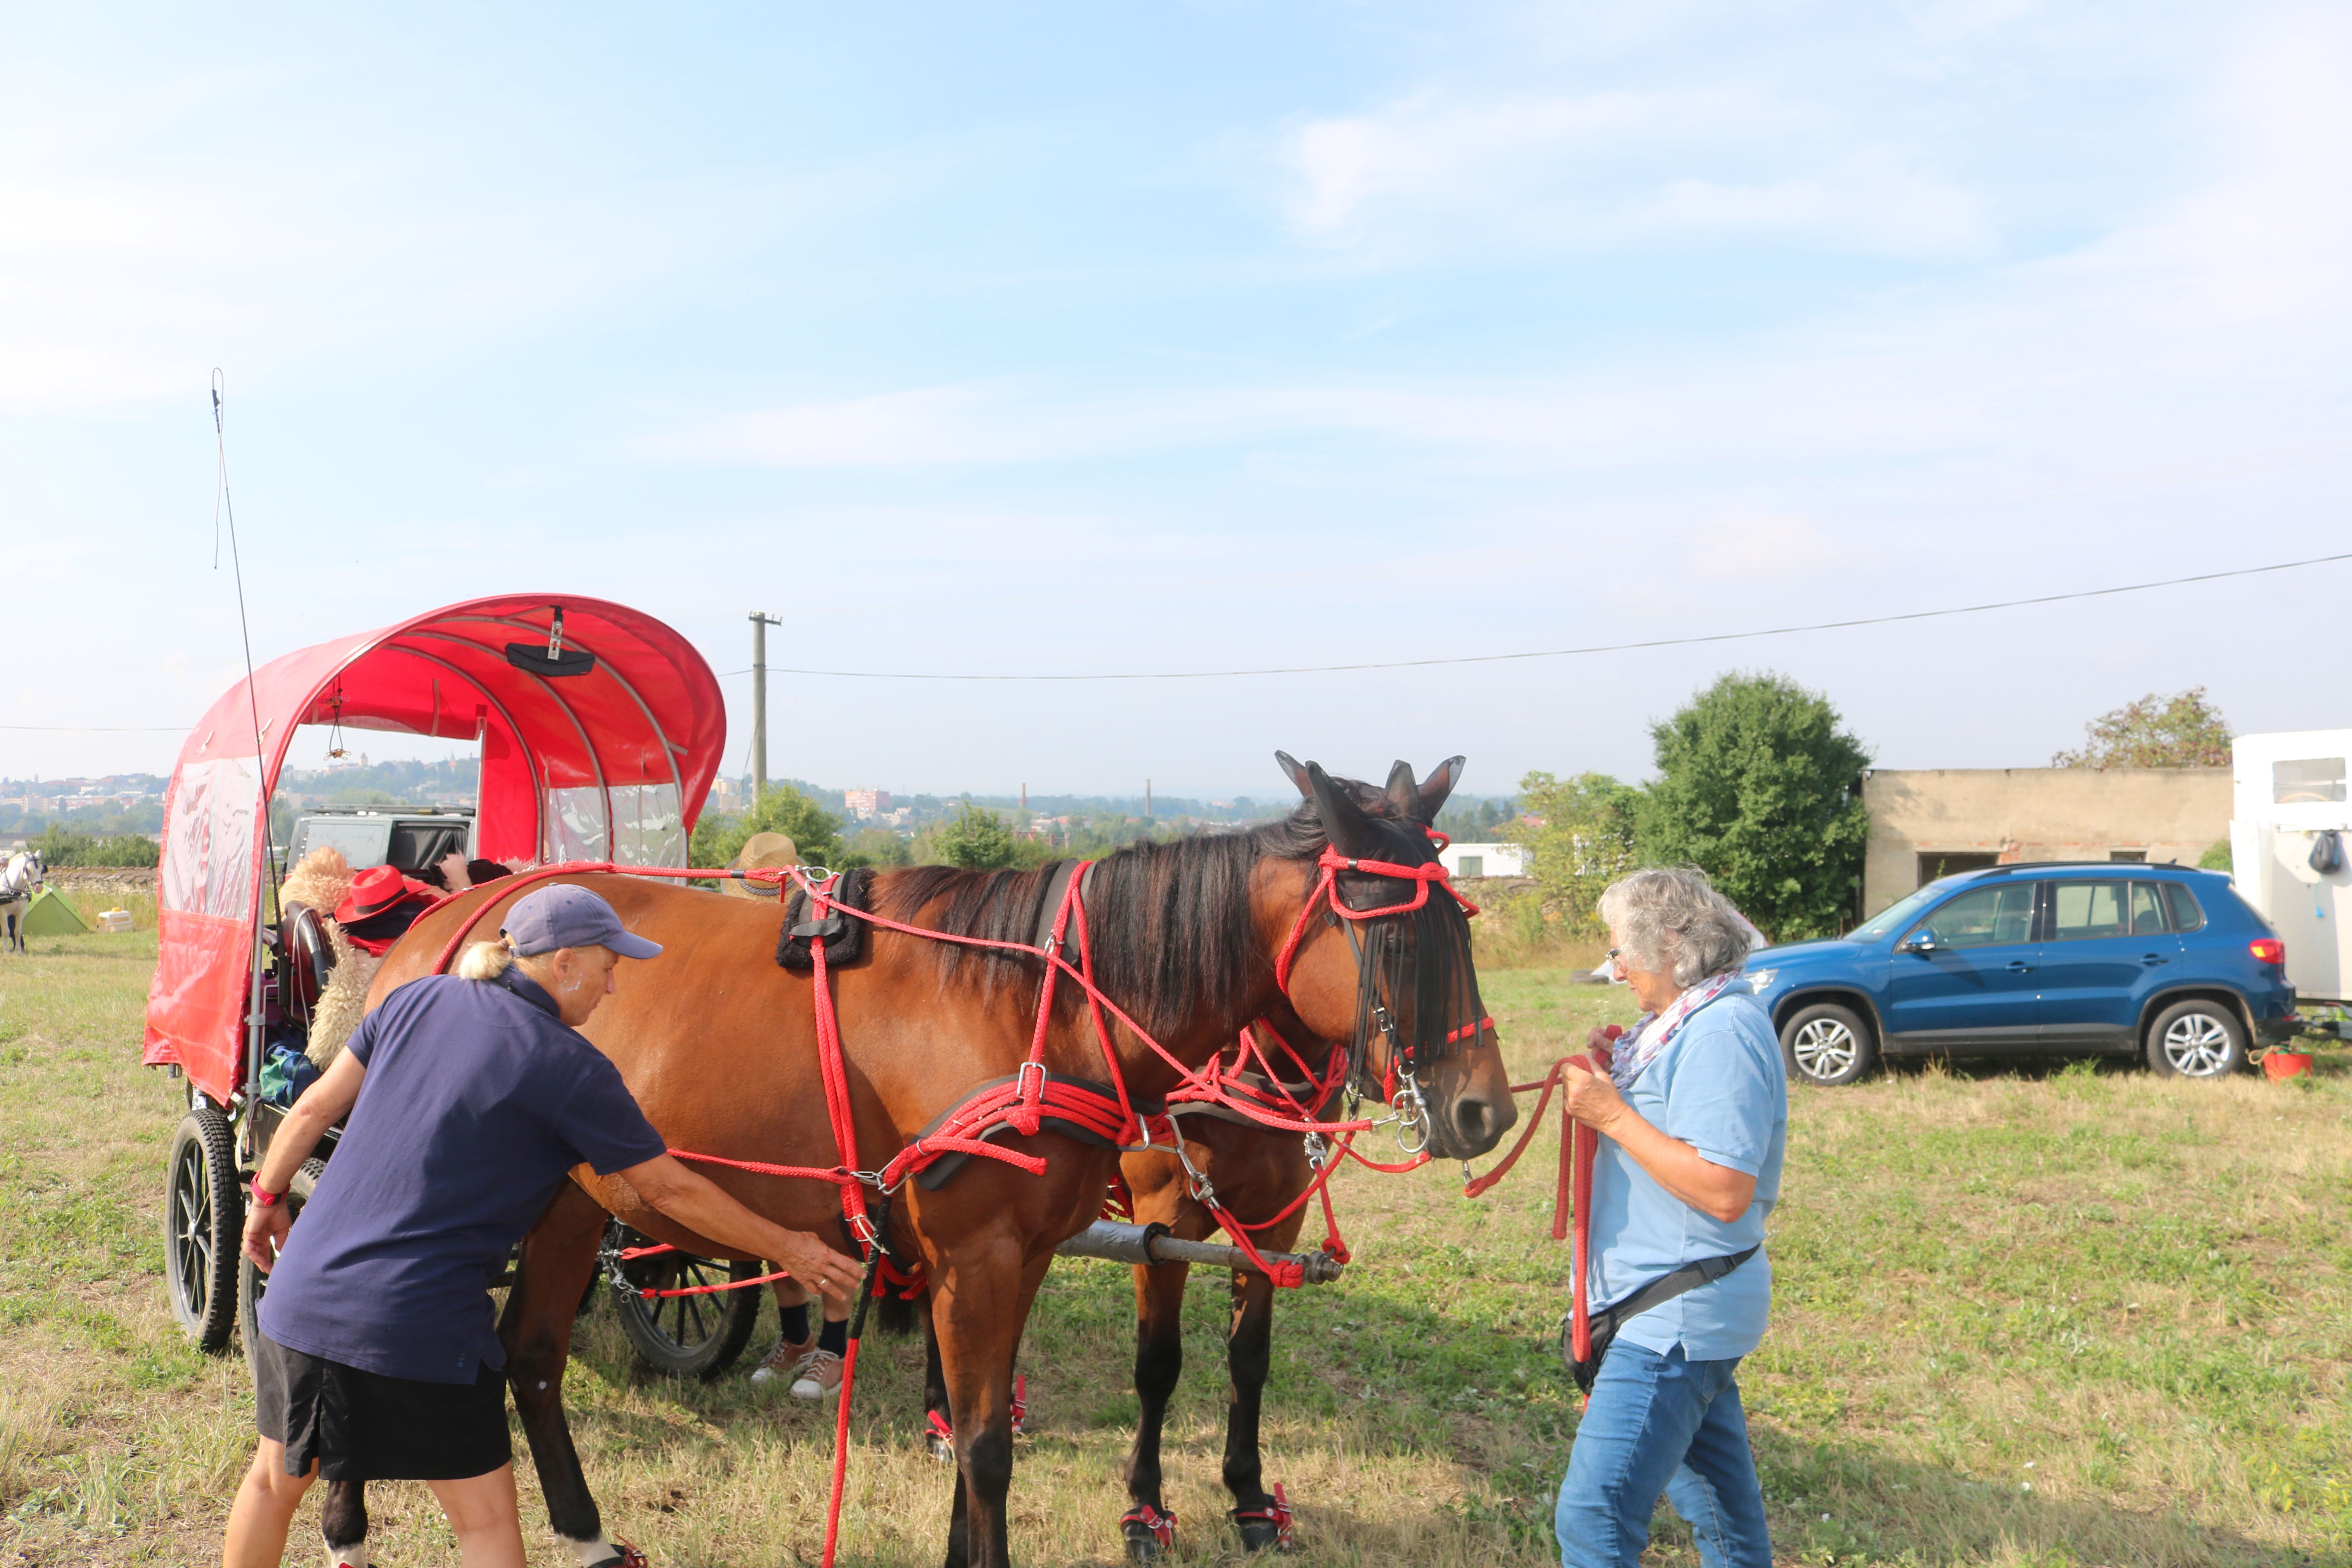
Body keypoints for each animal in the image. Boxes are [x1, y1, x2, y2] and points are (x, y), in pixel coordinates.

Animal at [0, 851, 45, 949]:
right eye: (28, 869)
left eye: (42, 869)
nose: (39, 888)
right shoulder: (3, 913)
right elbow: (6, 931)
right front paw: (6, 950)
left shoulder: (21, 912)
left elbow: (17, 931)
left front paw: (18, 950)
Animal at [358, 752, 1515, 1561]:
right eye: (1396, 937)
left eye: (1463, 922)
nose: (1483, 1111)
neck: (1036, 1009)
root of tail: (456, 917)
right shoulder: (989, 1256)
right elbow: (994, 1444)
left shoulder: (1044, 1253)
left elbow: (985, 1426)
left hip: (570, 1199)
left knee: (530, 1355)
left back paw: (584, 1527)